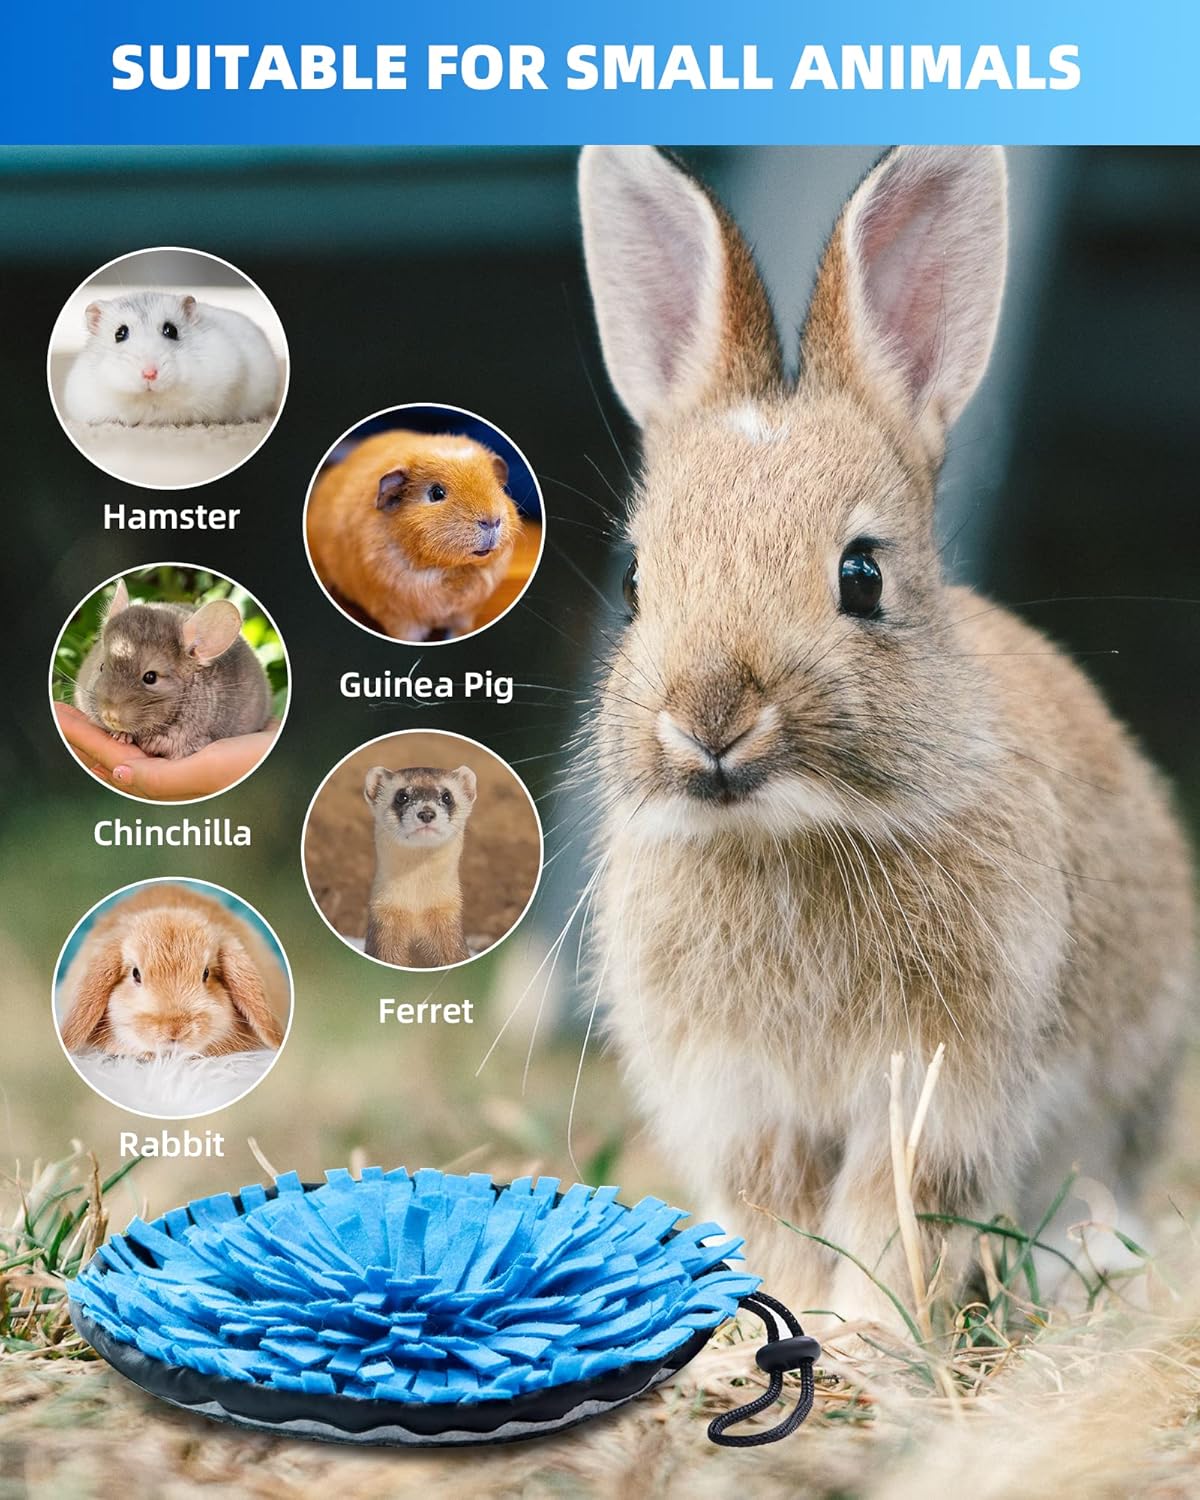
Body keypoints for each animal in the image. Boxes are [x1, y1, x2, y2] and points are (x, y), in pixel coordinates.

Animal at [305, 430, 520, 642]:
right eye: (436, 493)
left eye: (496, 485)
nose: (492, 520)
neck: (454, 570)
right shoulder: (400, 618)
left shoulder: (464, 614)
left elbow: (458, 631)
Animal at [577, 144, 1196, 1329]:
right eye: (634, 584)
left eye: (861, 575)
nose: (710, 720)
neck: (787, 834)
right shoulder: (743, 1104)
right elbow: (780, 1218)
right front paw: (784, 1320)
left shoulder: (944, 1086)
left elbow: (893, 1211)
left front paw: (867, 1336)